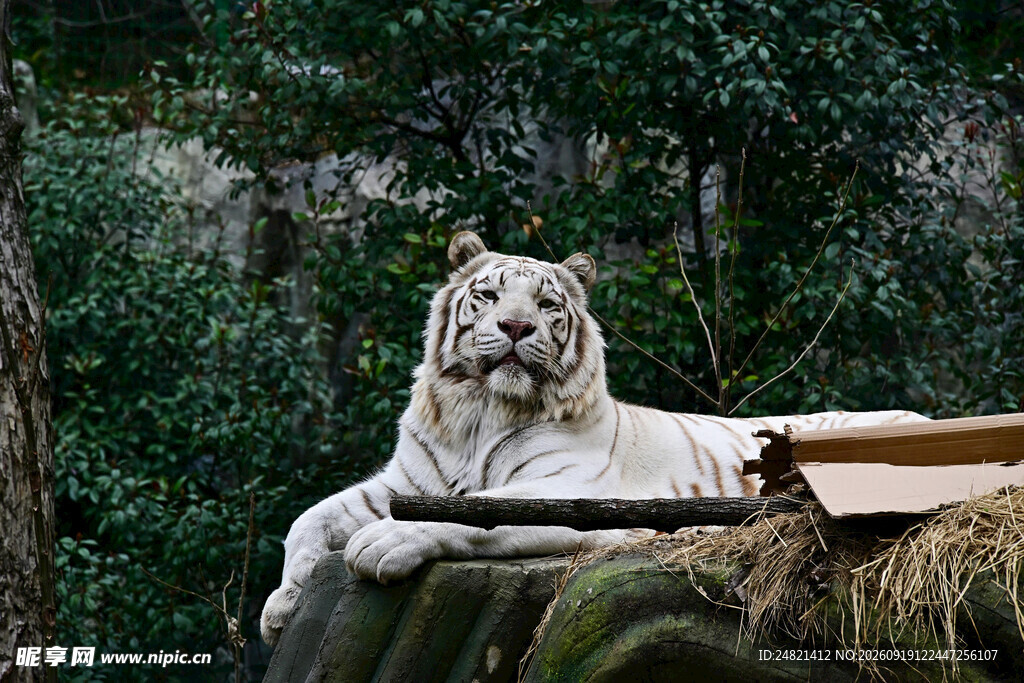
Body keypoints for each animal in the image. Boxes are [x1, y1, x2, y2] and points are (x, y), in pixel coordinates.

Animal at [260, 230, 927, 645]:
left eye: (546, 303)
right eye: (489, 295)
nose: (516, 326)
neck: (480, 414)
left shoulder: (571, 492)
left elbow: (478, 510)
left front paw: (382, 543)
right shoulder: (404, 481)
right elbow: (308, 519)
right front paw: (282, 606)